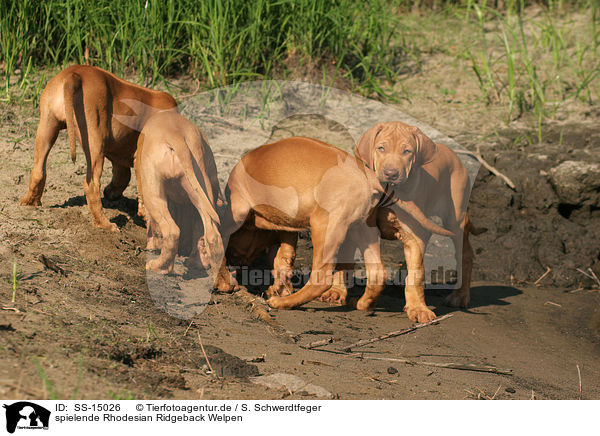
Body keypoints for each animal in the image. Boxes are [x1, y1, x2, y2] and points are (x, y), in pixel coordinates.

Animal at [19, 65, 178, 232]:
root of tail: (74, 74)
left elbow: (123, 175)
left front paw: (111, 192)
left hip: (47, 126)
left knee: (38, 170)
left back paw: (30, 202)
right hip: (94, 140)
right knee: (92, 185)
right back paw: (105, 224)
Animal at [135, 110, 224, 278]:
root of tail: (176, 136)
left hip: (153, 193)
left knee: (172, 231)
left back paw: (159, 267)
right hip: (200, 187)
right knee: (212, 235)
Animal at [216, 136, 450, 310]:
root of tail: (369, 178)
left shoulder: (237, 208)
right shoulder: (287, 227)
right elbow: (283, 259)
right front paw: (279, 286)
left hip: (323, 225)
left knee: (321, 276)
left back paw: (284, 303)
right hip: (362, 230)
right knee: (377, 272)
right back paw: (363, 304)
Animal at [354, 121, 486, 318]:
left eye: (407, 151)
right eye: (381, 148)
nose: (391, 173)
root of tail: (454, 154)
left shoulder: (414, 235)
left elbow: (417, 274)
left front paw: (418, 308)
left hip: (455, 219)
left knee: (465, 254)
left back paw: (460, 296)